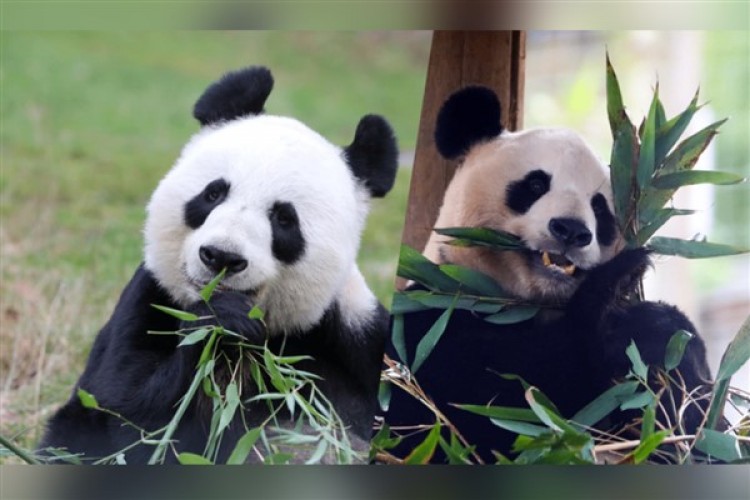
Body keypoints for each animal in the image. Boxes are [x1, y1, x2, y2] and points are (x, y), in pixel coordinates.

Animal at [38, 66, 398, 464]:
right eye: (213, 193)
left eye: (284, 218)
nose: (221, 256)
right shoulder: (151, 301)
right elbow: (127, 413)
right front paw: (219, 321)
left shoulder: (354, 335)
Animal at [382, 86, 712, 464]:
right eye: (536, 184)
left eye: (599, 207)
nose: (570, 230)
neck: (521, 304)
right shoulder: (425, 322)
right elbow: (488, 403)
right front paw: (614, 288)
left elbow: (686, 424)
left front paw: (659, 331)